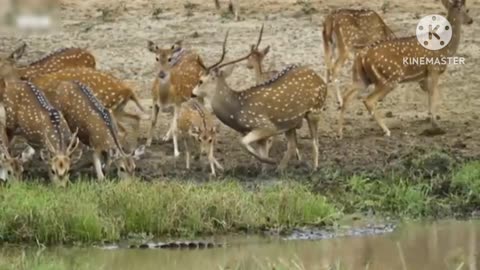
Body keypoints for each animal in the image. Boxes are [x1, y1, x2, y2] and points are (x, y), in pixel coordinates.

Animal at [191, 31, 326, 171]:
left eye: (200, 81)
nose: (192, 93)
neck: (237, 111)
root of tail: (320, 79)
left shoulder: (266, 125)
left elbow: (242, 142)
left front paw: (270, 161)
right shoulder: (262, 134)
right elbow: (261, 153)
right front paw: (265, 168)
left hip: (315, 110)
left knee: (315, 141)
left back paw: (314, 168)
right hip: (290, 122)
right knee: (292, 145)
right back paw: (280, 169)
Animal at [338, 0, 472, 138]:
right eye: (465, 10)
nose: (470, 20)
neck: (446, 49)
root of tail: (361, 56)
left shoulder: (424, 75)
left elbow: (429, 93)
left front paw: (429, 119)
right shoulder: (434, 69)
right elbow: (434, 93)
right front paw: (435, 125)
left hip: (363, 78)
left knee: (347, 96)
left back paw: (339, 133)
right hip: (389, 77)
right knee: (369, 100)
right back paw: (386, 130)